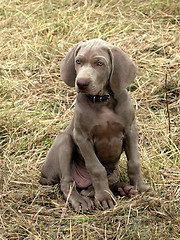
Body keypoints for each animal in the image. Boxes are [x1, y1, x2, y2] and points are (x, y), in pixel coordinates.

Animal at [39, 38, 153, 211]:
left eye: (100, 63)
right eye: (78, 61)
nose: (81, 83)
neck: (102, 101)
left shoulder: (130, 130)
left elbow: (134, 162)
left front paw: (140, 187)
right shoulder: (82, 137)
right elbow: (96, 168)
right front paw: (104, 197)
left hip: (113, 172)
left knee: (96, 185)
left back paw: (122, 188)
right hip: (64, 140)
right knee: (67, 183)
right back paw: (81, 200)